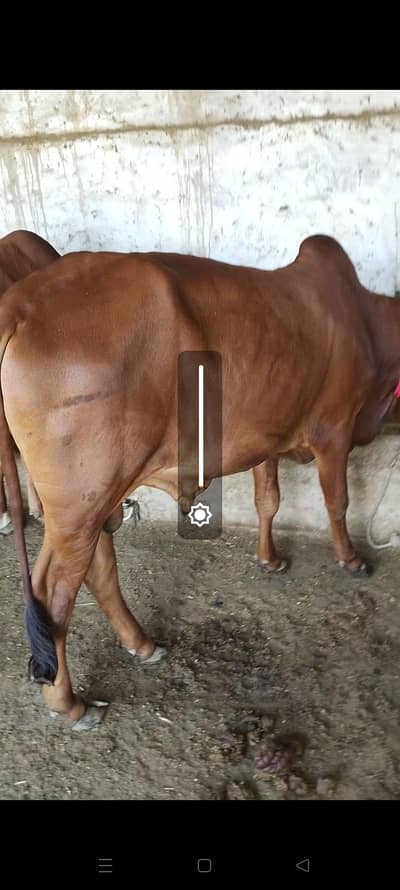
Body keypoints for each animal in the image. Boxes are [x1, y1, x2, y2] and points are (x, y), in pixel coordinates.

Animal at [0, 234, 398, 730]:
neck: (366, 322)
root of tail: (19, 304)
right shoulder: (334, 431)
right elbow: (337, 502)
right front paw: (351, 559)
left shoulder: (267, 439)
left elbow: (268, 499)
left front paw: (269, 558)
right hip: (81, 504)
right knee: (53, 593)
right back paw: (69, 704)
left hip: (89, 501)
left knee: (98, 571)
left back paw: (142, 644)